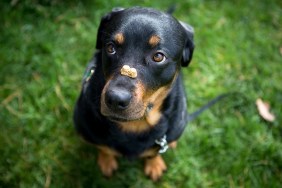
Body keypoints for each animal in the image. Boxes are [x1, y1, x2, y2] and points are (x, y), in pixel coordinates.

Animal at [73, 6, 194, 181]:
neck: (134, 126)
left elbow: (153, 152)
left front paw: (154, 164)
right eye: (110, 47)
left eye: (158, 56)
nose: (115, 99)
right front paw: (106, 161)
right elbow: (103, 148)